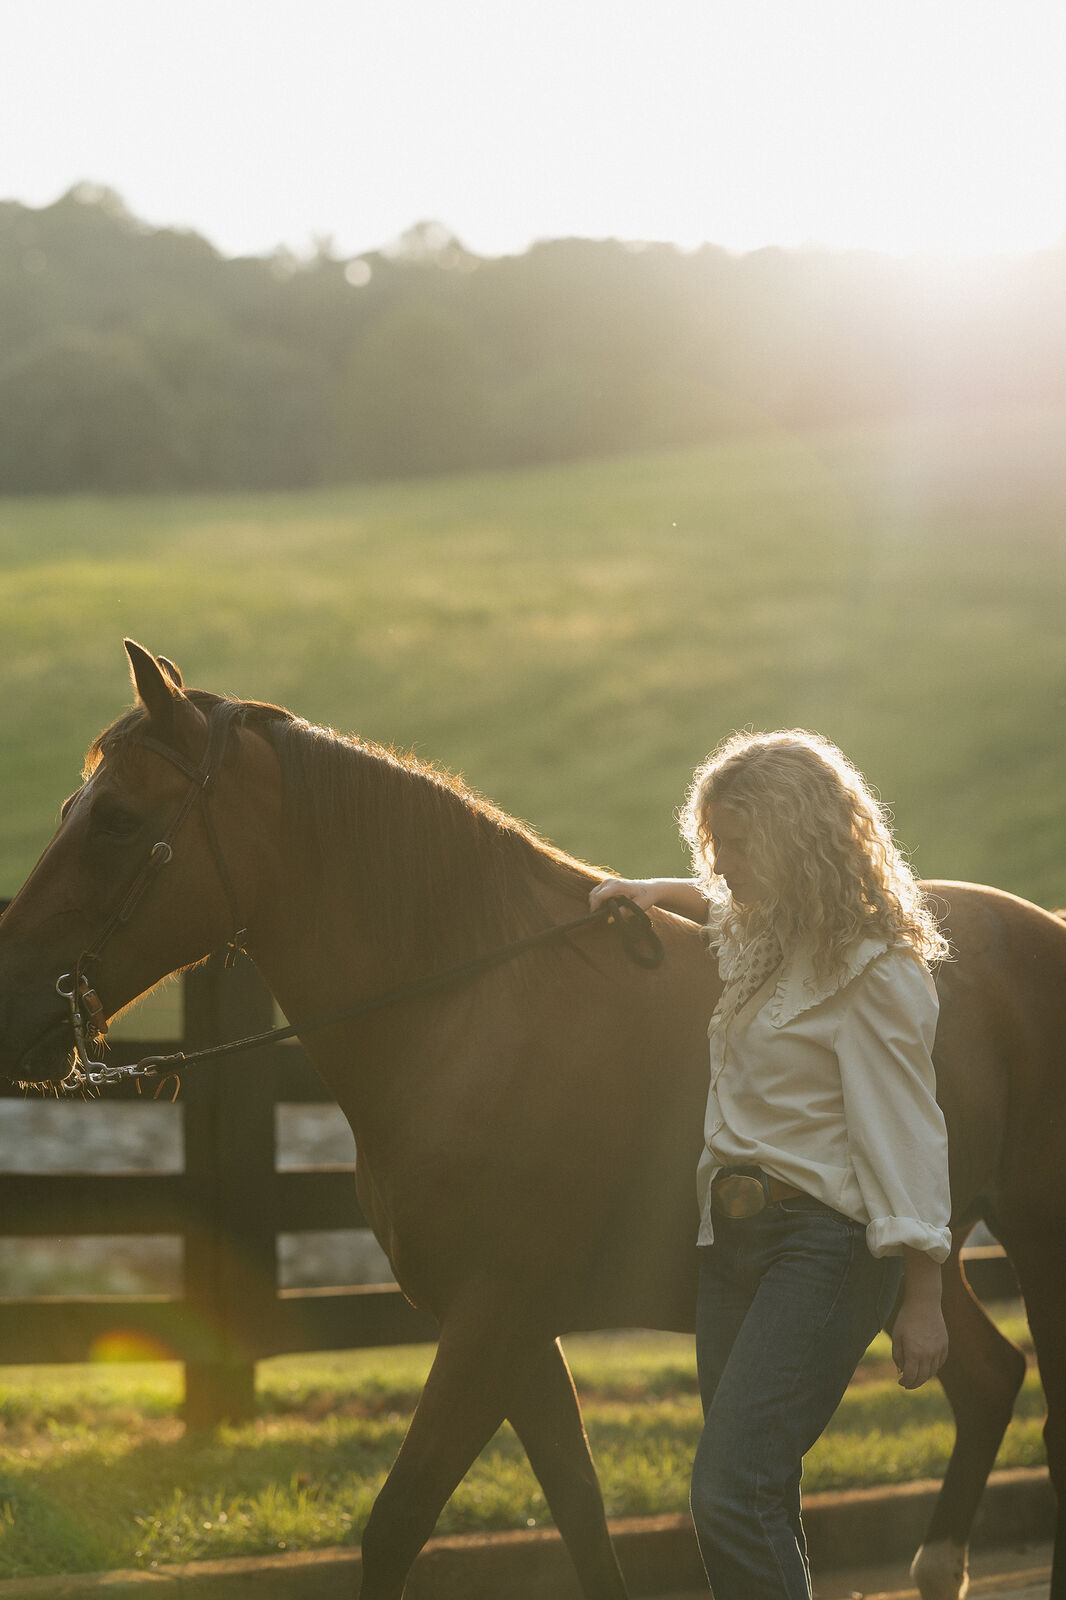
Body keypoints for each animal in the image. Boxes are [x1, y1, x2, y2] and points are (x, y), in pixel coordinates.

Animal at [0, 640, 1063, 1600]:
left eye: (118, 820)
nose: (14, 999)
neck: (467, 1011)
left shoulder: (493, 1318)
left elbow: (399, 1523)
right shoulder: (514, 1332)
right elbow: (582, 1522)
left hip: (1032, 1235)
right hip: (916, 1259)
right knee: (988, 1377)